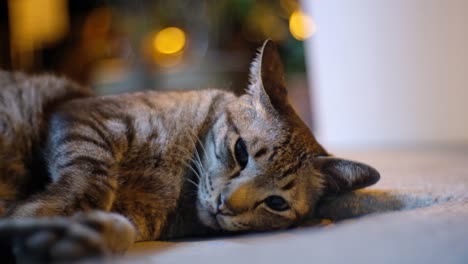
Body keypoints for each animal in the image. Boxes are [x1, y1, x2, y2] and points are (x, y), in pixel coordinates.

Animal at [0, 40, 378, 262]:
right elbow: (91, 180)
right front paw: (41, 216)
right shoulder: (83, 116)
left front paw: (59, 236)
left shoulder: (135, 218)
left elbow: (120, 229)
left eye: (276, 203)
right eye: (241, 152)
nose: (225, 205)